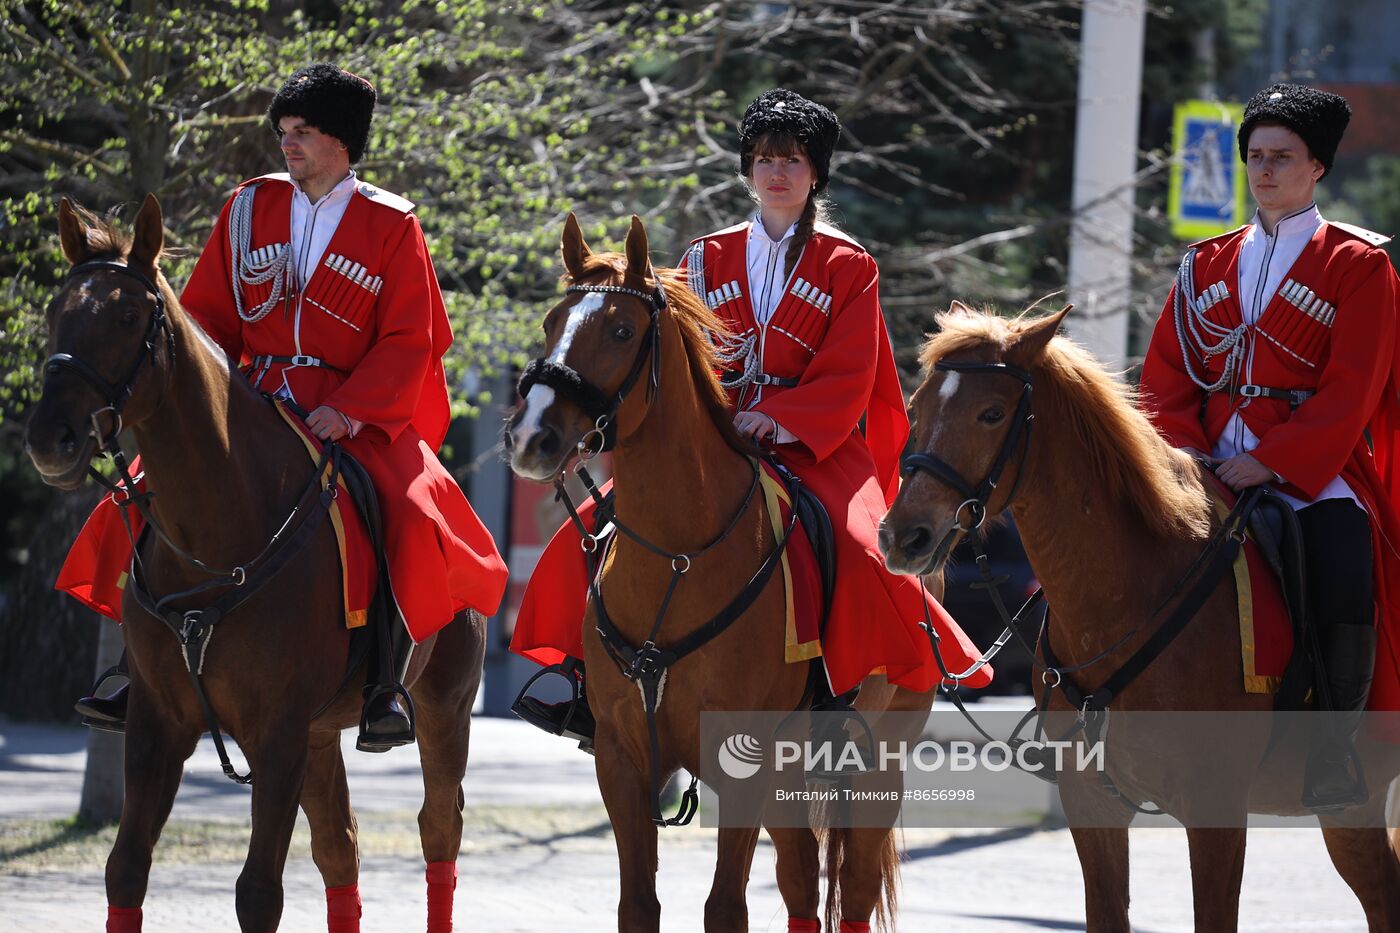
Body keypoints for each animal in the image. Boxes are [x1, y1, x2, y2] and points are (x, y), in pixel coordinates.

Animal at [23, 194, 487, 924]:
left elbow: (258, 893)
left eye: (127, 317)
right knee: (340, 850)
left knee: (439, 830)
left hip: (444, 710)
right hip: (323, 735)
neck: (216, 536)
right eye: (55, 312)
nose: (50, 439)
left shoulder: (278, 732)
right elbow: (125, 870)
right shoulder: (158, 722)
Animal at [504, 210, 929, 930]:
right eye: (550, 321)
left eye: (621, 330)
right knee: (801, 881)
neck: (678, 557)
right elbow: (638, 902)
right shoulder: (622, 757)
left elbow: (726, 905)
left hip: (878, 762)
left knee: (855, 886)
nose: (530, 436)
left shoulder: (745, 761)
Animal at [879, 305, 1400, 930]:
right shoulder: (1092, 806)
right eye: (916, 407)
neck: (1123, 602)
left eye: (992, 413)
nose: (903, 536)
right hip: (1354, 809)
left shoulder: (1215, 808)